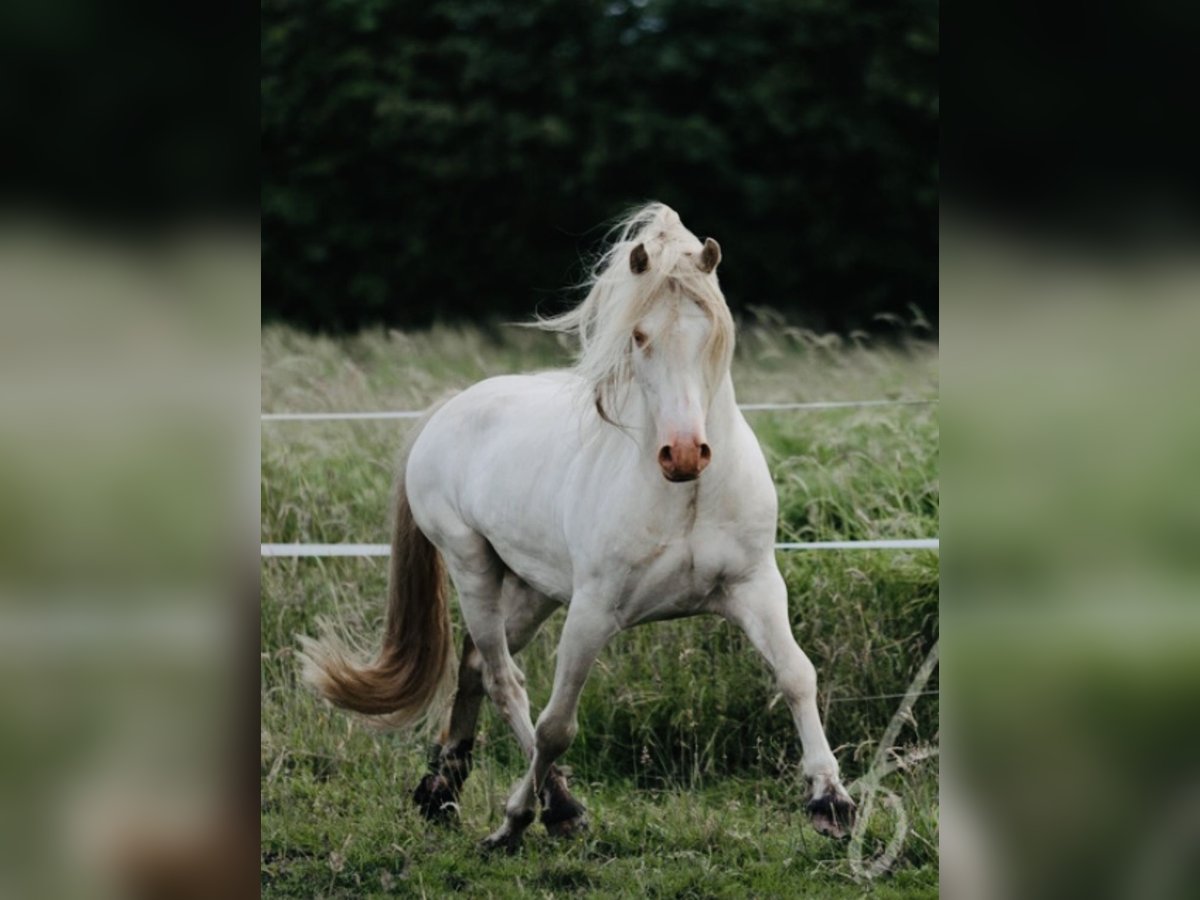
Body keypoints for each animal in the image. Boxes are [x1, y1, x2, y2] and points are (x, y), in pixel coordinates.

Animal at [304, 202, 859, 854]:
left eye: (713, 335)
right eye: (639, 336)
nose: (684, 453)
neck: (686, 498)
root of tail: (450, 408)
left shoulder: (756, 588)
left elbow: (797, 675)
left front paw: (831, 802)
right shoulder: (593, 612)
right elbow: (557, 725)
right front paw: (515, 821)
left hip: (534, 588)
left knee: (475, 667)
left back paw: (442, 789)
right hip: (473, 568)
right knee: (504, 680)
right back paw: (557, 805)